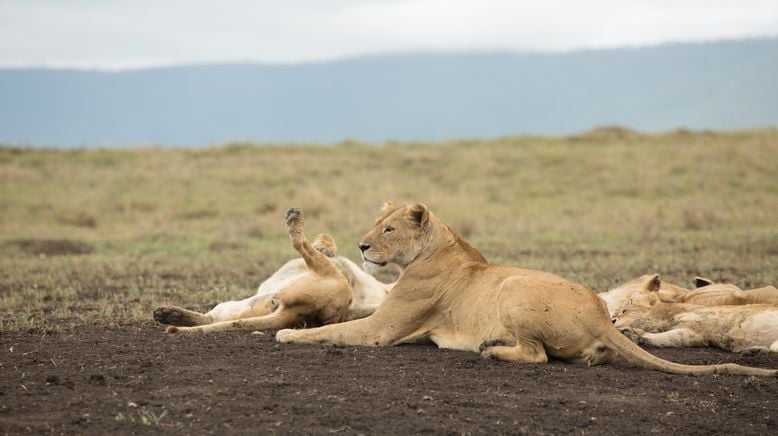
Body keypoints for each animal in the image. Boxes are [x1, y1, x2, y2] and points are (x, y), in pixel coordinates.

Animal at [154, 208, 392, 334]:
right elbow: (328, 237)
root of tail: (293, 316)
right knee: (212, 320)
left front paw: (321, 246)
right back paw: (169, 314)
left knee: (300, 244)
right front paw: (323, 246)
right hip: (238, 306)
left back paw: (295, 221)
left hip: (327, 277)